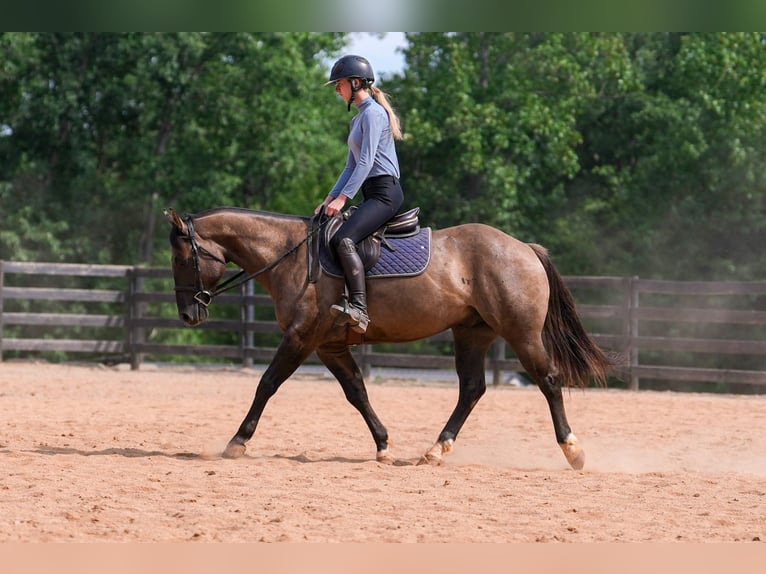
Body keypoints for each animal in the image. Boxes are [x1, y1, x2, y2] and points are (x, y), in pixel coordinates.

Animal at [164, 206, 611, 469]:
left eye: (181, 259)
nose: (188, 314)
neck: (291, 255)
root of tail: (524, 248)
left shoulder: (301, 339)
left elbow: (267, 384)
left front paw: (237, 442)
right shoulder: (328, 345)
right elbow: (357, 392)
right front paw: (383, 445)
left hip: (521, 333)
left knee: (548, 381)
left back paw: (573, 450)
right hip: (471, 334)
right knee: (471, 389)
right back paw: (435, 449)